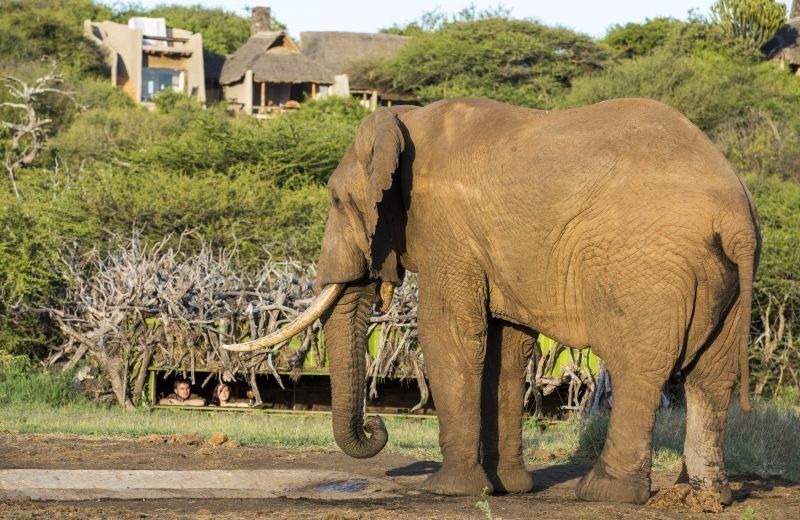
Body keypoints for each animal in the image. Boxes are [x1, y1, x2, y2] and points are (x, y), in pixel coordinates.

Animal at [224, 97, 760, 505]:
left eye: (337, 201)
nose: (379, 424)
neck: (407, 120)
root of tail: (735, 213)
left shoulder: (448, 230)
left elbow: (451, 335)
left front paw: (447, 490)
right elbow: (506, 351)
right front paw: (508, 489)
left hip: (642, 266)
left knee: (637, 369)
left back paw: (602, 494)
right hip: (722, 279)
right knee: (711, 378)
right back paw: (702, 497)